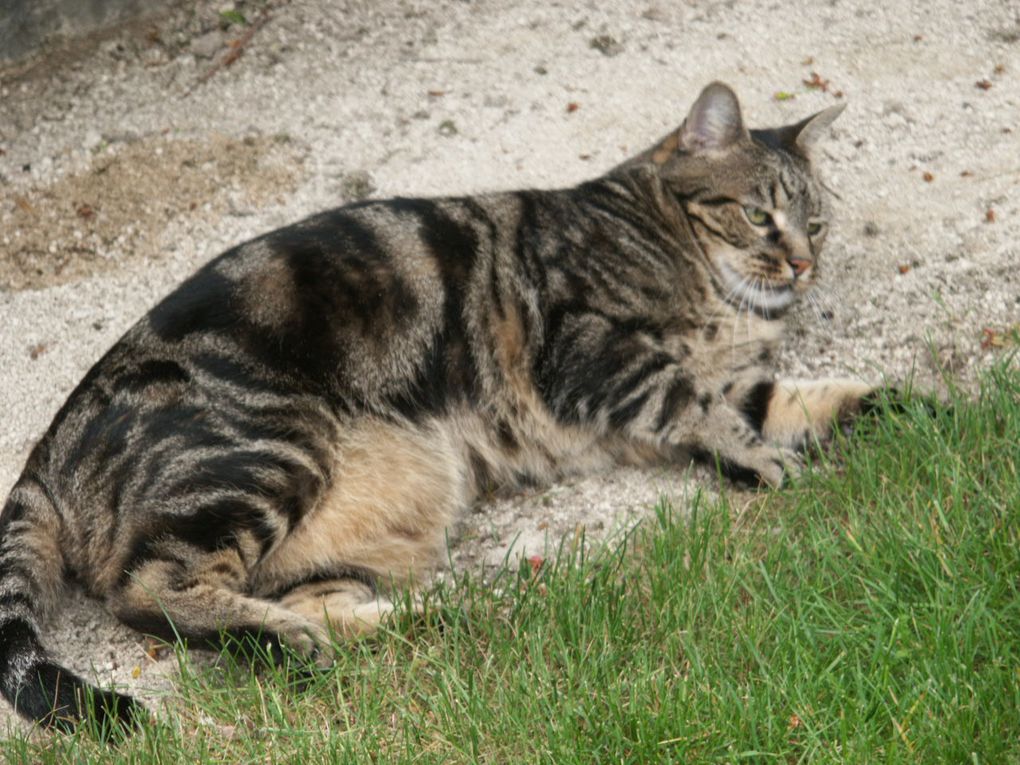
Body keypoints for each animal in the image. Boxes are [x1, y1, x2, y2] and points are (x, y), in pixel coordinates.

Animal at [1, 82, 869, 730]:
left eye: (818, 221)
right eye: (758, 213)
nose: (802, 261)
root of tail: (44, 455)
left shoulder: (726, 377)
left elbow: (808, 398)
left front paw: (883, 412)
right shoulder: (588, 347)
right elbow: (700, 406)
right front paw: (762, 459)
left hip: (361, 520)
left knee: (325, 606)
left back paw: (447, 614)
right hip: (264, 450)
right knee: (151, 589)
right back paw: (305, 634)